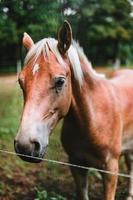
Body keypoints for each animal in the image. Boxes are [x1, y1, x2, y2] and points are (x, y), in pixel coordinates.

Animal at [14, 20, 133, 200]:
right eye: (21, 82)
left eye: (60, 81)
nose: (25, 146)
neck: (91, 119)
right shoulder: (76, 165)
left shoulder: (110, 170)